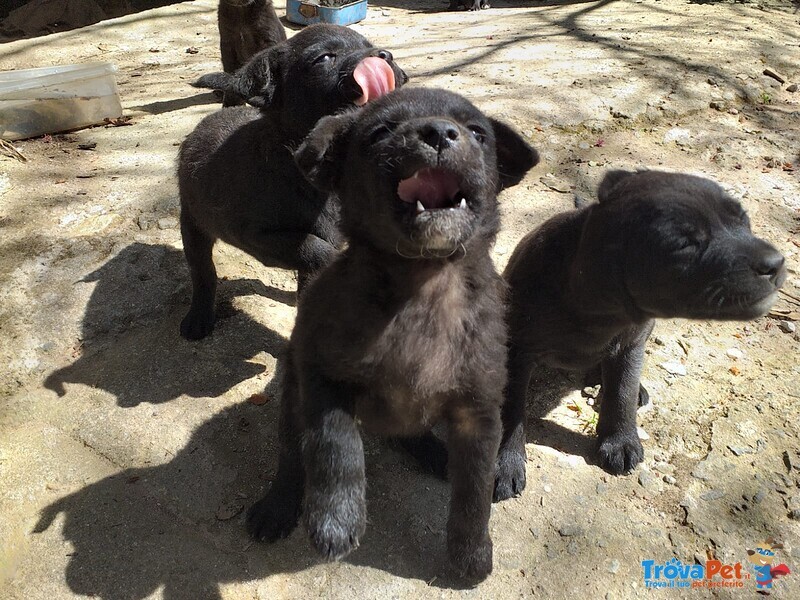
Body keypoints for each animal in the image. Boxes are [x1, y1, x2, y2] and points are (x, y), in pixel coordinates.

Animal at [179, 23, 410, 340]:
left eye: (369, 45)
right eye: (324, 58)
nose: (383, 55)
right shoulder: (258, 236)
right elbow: (317, 250)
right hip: (192, 223)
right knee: (202, 271)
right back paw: (198, 318)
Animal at [247, 86, 540, 580]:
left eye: (478, 133)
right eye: (381, 131)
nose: (440, 132)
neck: (422, 286)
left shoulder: (478, 411)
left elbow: (475, 492)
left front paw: (471, 554)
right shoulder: (323, 376)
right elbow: (335, 448)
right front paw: (336, 520)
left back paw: (434, 454)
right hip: (291, 403)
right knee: (292, 457)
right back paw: (277, 507)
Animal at [496, 166, 784, 500]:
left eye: (744, 220)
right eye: (684, 245)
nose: (776, 263)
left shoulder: (630, 345)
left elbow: (622, 391)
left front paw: (619, 440)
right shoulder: (516, 352)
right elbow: (511, 411)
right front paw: (505, 463)